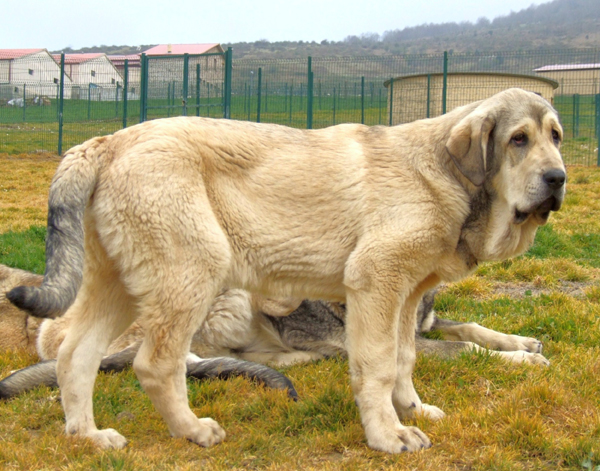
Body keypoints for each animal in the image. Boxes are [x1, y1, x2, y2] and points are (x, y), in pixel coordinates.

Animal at [5, 87, 568, 454]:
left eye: (556, 136)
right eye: (518, 139)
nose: (558, 178)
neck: (445, 173)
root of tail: (105, 142)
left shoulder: (407, 296)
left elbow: (407, 357)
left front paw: (412, 410)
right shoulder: (376, 285)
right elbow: (380, 365)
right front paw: (388, 436)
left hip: (120, 285)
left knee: (77, 357)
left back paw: (89, 436)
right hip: (193, 276)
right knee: (157, 364)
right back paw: (192, 431)